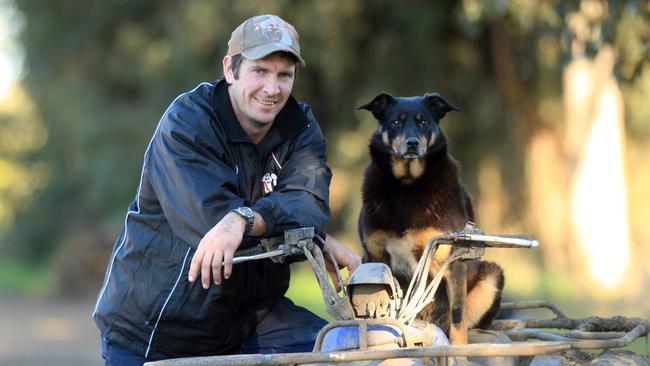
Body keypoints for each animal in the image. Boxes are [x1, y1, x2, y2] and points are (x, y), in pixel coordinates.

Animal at [356, 91, 504, 344]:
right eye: (396, 122)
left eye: (424, 122)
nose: (412, 143)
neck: (407, 186)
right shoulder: (374, 257)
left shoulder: (452, 262)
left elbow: (458, 320)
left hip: (491, 276)